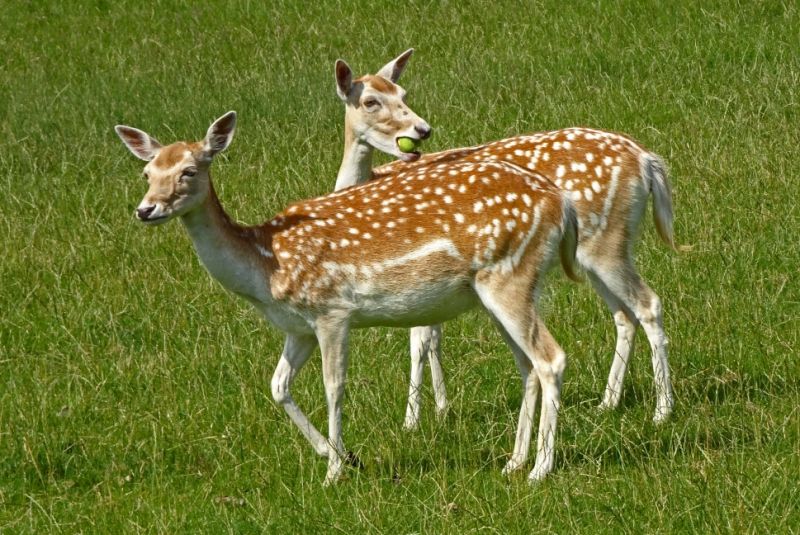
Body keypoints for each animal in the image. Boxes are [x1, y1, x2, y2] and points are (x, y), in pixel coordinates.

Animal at [115, 111, 581, 484]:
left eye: (189, 171)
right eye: (147, 173)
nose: (145, 209)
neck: (265, 265)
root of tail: (561, 202)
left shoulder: (332, 311)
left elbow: (333, 386)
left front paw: (335, 470)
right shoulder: (298, 328)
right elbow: (278, 386)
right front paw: (339, 455)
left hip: (511, 275)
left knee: (550, 358)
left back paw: (540, 470)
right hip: (496, 290)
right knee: (526, 365)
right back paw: (514, 462)